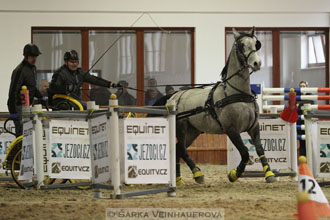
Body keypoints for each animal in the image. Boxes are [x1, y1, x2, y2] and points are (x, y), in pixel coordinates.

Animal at [155, 27, 276, 186]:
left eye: (256, 44)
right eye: (241, 45)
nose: (257, 63)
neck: (237, 93)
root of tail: (174, 96)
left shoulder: (253, 127)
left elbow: (260, 149)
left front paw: (269, 174)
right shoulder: (231, 130)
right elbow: (244, 152)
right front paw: (234, 174)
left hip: (193, 132)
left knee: (178, 150)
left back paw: (179, 179)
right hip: (181, 128)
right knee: (181, 149)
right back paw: (197, 173)